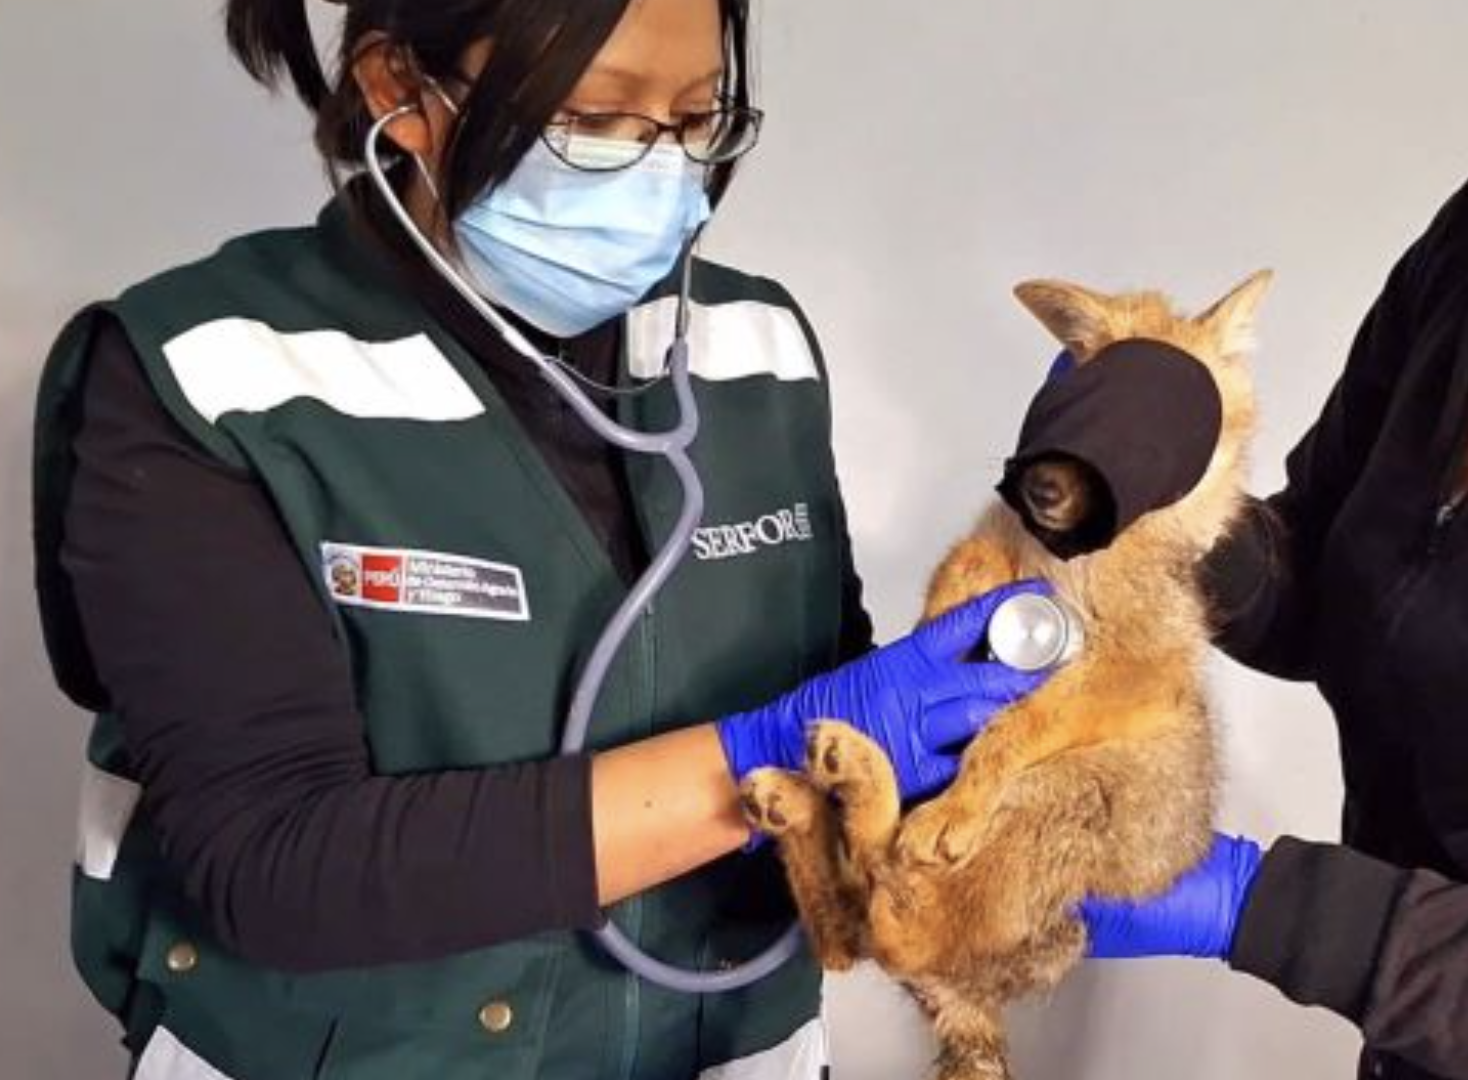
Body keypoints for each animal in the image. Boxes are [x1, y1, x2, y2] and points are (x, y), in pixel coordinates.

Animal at [739, 270, 1272, 1080]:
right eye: (1073, 393)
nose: (1044, 486)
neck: (1071, 558)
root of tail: (967, 1001)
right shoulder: (988, 545)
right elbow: (960, 575)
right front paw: (912, 667)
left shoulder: (1135, 665)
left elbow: (1020, 722)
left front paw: (957, 800)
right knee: (850, 931)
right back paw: (817, 795)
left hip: (1062, 797)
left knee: (889, 917)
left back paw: (866, 784)